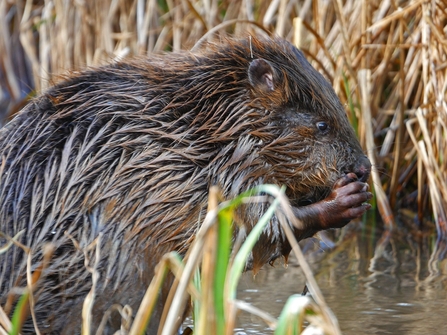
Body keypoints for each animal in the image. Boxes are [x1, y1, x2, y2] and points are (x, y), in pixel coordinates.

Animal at [0, 35, 372, 334]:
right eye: (322, 125)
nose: (364, 168)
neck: (197, 126)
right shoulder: (191, 179)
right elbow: (247, 229)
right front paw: (346, 199)